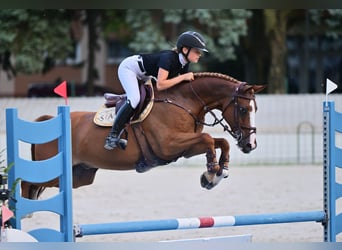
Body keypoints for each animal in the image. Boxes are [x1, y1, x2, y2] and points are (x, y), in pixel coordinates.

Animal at [23, 72, 264, 199]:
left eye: (256, 109)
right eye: (244, 109)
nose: (250, 145)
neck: (183, 101)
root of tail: (47, 120)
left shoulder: (185, 147)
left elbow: (219, 142)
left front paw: (218, 172)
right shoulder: (168, 145)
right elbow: (208, 140)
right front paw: (212, 174)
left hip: (79, 176)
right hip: (51, 172)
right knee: (26, 183)